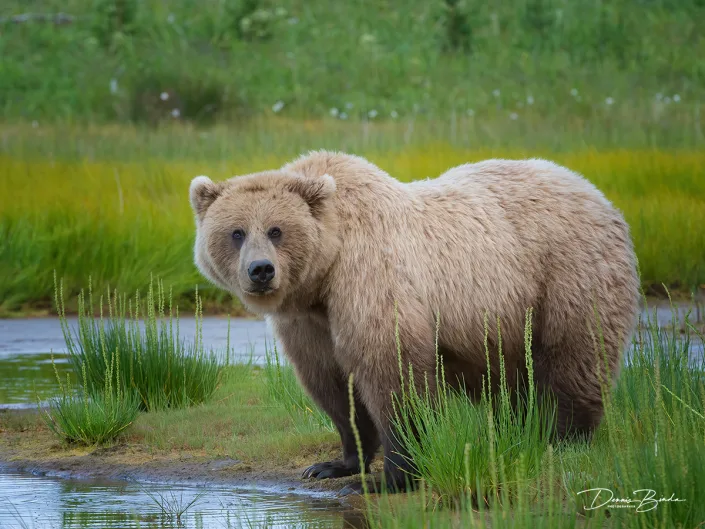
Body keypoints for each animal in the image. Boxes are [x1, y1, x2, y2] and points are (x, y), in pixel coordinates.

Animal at [189, 150, 640, 495]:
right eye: (236, 232)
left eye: (276, 230)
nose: (261, 271)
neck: (324, 274)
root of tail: (597, 194)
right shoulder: (309, 324)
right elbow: (332, 385)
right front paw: (333, 463)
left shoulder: (370, 279)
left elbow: (393, 375)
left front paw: (389, 477)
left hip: (566, 278)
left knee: (572, 358)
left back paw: (562, 436)